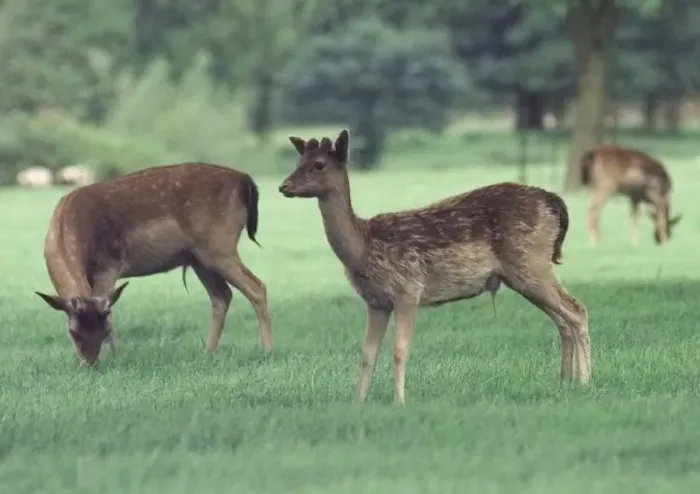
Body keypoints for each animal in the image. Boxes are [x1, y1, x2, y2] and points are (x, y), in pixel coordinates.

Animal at [35, 162, 272, 366]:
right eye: (73, 332)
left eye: (103, 330)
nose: (90, 363)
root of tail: (245, 181)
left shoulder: (109, 263)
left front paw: (120, 357)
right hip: (198, 257)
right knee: (222, 295)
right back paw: (207, 352)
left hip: (219, 245)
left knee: (256, 286)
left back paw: (268, 350)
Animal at [278, 130, 590, 405]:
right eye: (298, 161)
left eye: (318, 164)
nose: (283, 186)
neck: (362, 247)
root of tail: (554, 203)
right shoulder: (376, 301)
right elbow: (368, 354)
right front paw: (357, 403)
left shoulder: (407, 288)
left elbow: (400, 350)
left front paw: (399, 401)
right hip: (523, 274)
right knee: (562, 320)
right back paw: (566, 381)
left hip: (530, 263)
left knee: (576, 310)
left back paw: (586, 380)